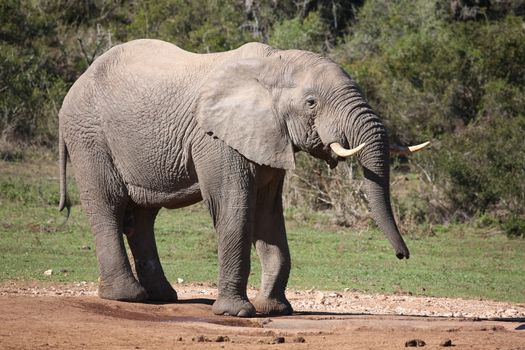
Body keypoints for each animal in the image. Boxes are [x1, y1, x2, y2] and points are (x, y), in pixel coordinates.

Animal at [58, 38, 426, 318]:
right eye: (311, 102)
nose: (403, 256)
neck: (274, 65)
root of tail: (75, 84)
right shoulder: (215, 139)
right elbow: (233, 208)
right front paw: (237, 313)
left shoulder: (269, 138)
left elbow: (268, 216)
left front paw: (275, 310)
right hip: (89, 133)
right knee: (109, 205)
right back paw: (127, 297)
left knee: (143, 215)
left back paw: (162, 297)